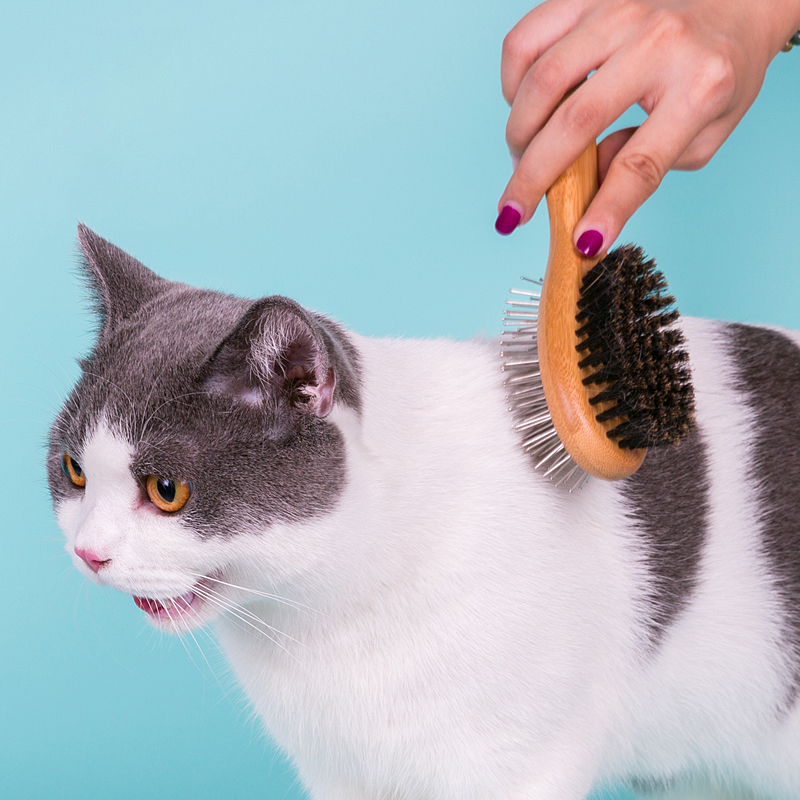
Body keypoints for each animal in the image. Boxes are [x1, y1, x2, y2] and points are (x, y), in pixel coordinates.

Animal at [48, 225, 800, 800]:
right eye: (74, 471)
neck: (325, 617)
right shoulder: (342, 775)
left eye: (166, 489)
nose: (88, 552)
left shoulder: (511, 767)